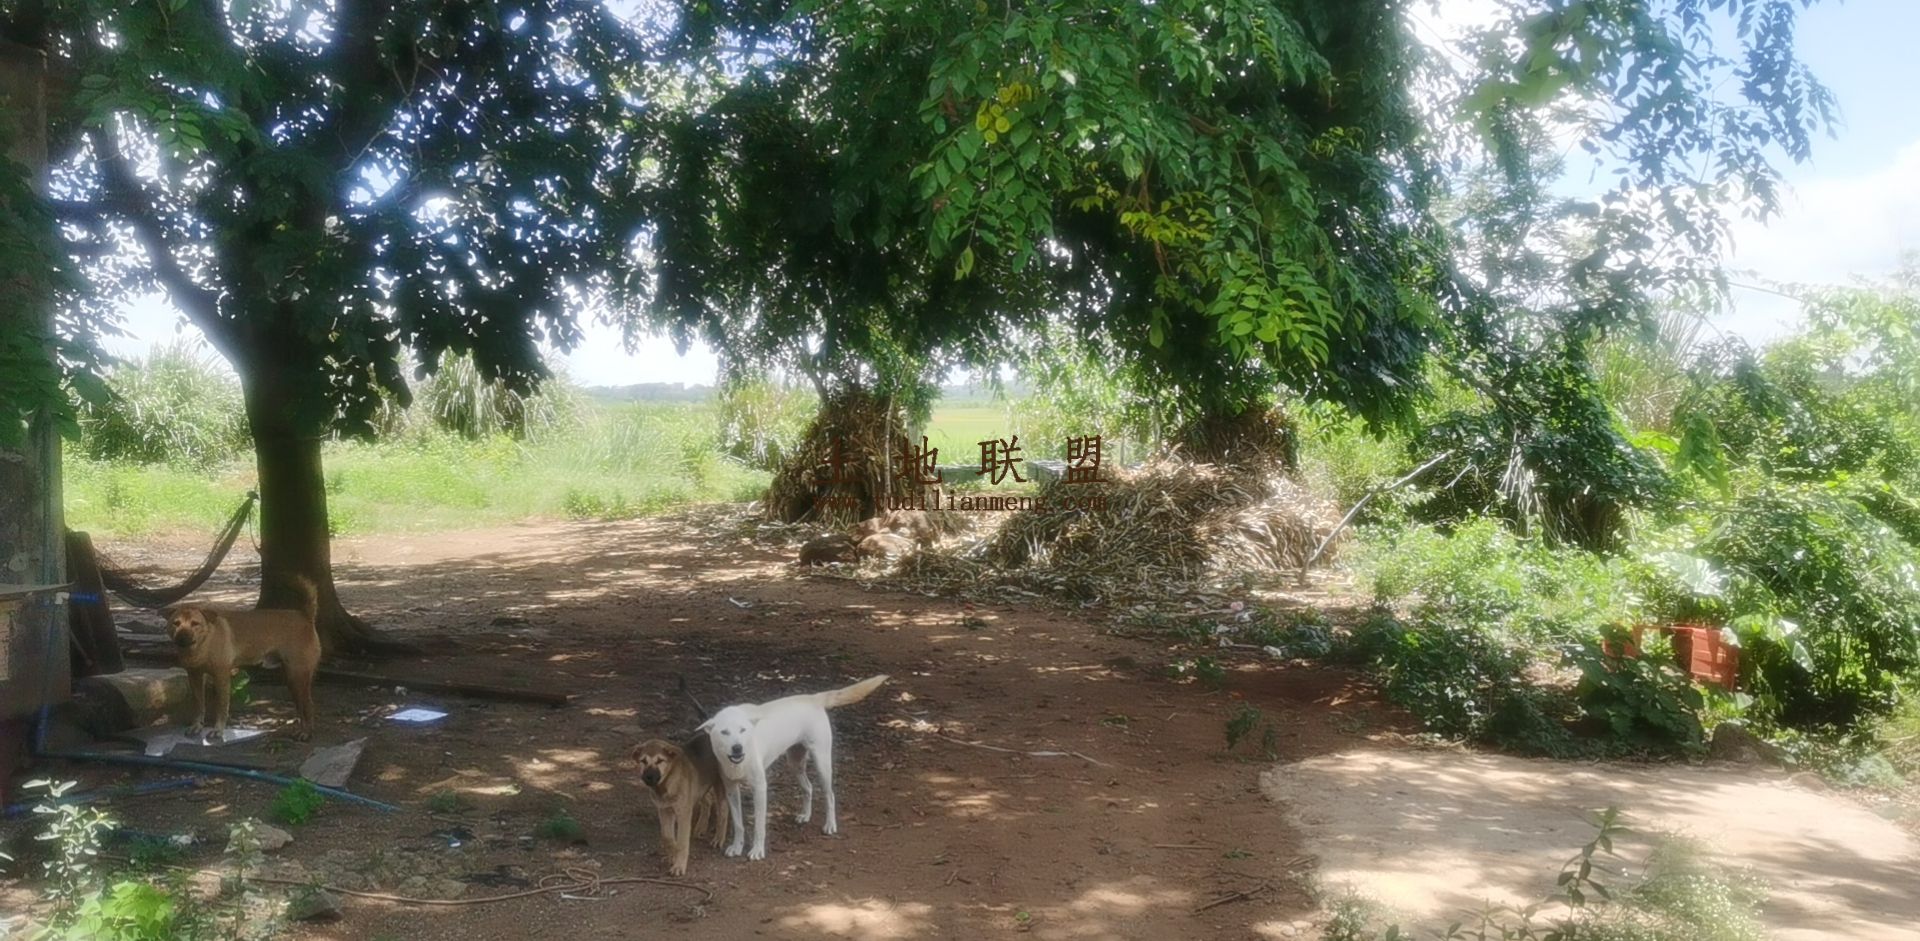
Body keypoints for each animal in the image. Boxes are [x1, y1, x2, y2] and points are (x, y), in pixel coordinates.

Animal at [165, 577, 321, 741]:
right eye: (176, 623)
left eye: (195, 624)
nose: (182, 637)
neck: (204, 644)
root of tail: (306, 616)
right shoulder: (194, 676)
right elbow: (199, 705)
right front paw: (196, 726)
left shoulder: (221, 677)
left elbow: (221, 707)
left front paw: (218, 730)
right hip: (292, 680)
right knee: (301, 707)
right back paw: (301, 730)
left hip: (298, 676)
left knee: (309, 706)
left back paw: (306, 733)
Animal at [698, 674, 888, 860]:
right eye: (724, 732)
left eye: (743, 730)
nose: (738, 748)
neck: (737, 762)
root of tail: (813, 698)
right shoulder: (731, 789)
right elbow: (738, 824)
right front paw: (737, 847)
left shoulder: (760, 789)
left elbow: (759, 825)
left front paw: (757, 850)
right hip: (795, 763)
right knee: (809, 787)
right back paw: (806, 815)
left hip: (822, 763)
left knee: (830, 795)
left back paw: (830, 825)